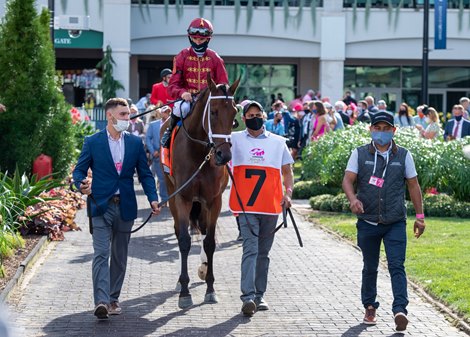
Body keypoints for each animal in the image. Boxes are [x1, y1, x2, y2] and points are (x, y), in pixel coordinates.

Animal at [162, 75, 241, 308]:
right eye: (213, 111)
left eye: (234, 113)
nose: (224, 155)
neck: (200, 153)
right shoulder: (183, 198)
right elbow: (184, 241)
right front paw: (184, 291)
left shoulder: (214, 200)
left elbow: (210, 242)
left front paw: (210, 287)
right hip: (172, 194)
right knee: (179, 231)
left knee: (204, 231)